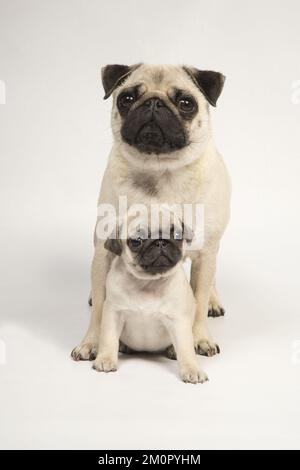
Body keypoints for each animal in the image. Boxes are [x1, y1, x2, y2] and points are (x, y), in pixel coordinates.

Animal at [71, 62, 231, 362]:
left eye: (186, 103)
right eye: (127, 99)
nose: (154, 103)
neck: (161, 171)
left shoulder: (205, 253)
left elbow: (198, 300)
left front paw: (198, 339)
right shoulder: (104, 251)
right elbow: (101, 307)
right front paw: (92, 343)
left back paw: (214, 302)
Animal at [94, 222, 209, 384]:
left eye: (177, 235)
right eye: (137, 241)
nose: (160, 241)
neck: (148, 283)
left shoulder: (178, 320)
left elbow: (185, 348)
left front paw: (192, 369)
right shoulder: (113, 313)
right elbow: (108, 338)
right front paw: (106, 359)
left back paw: (173, 350)